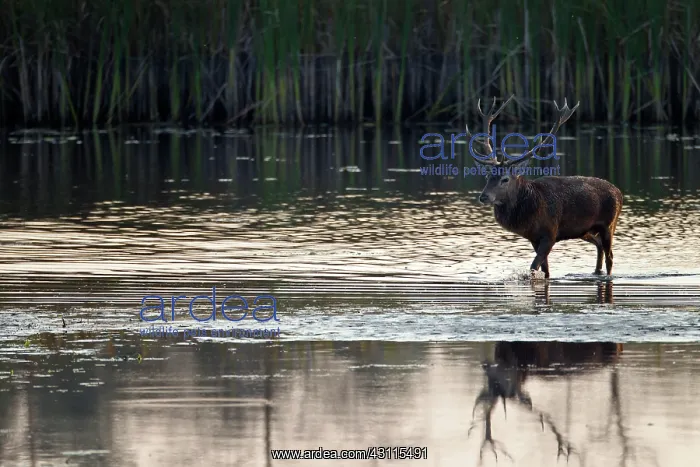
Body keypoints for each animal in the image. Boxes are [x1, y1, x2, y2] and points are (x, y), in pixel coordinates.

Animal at [465, 95, 623, 279]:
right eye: (487, 176)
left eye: (505, 179)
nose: (484, 196)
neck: (530, 213)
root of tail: (619, 192)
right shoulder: (534, 238)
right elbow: (546, 270)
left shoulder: (550, 233)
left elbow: (534, 266)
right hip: (585, 230)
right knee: (599, 246)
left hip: (609, 224)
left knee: (610, 256)